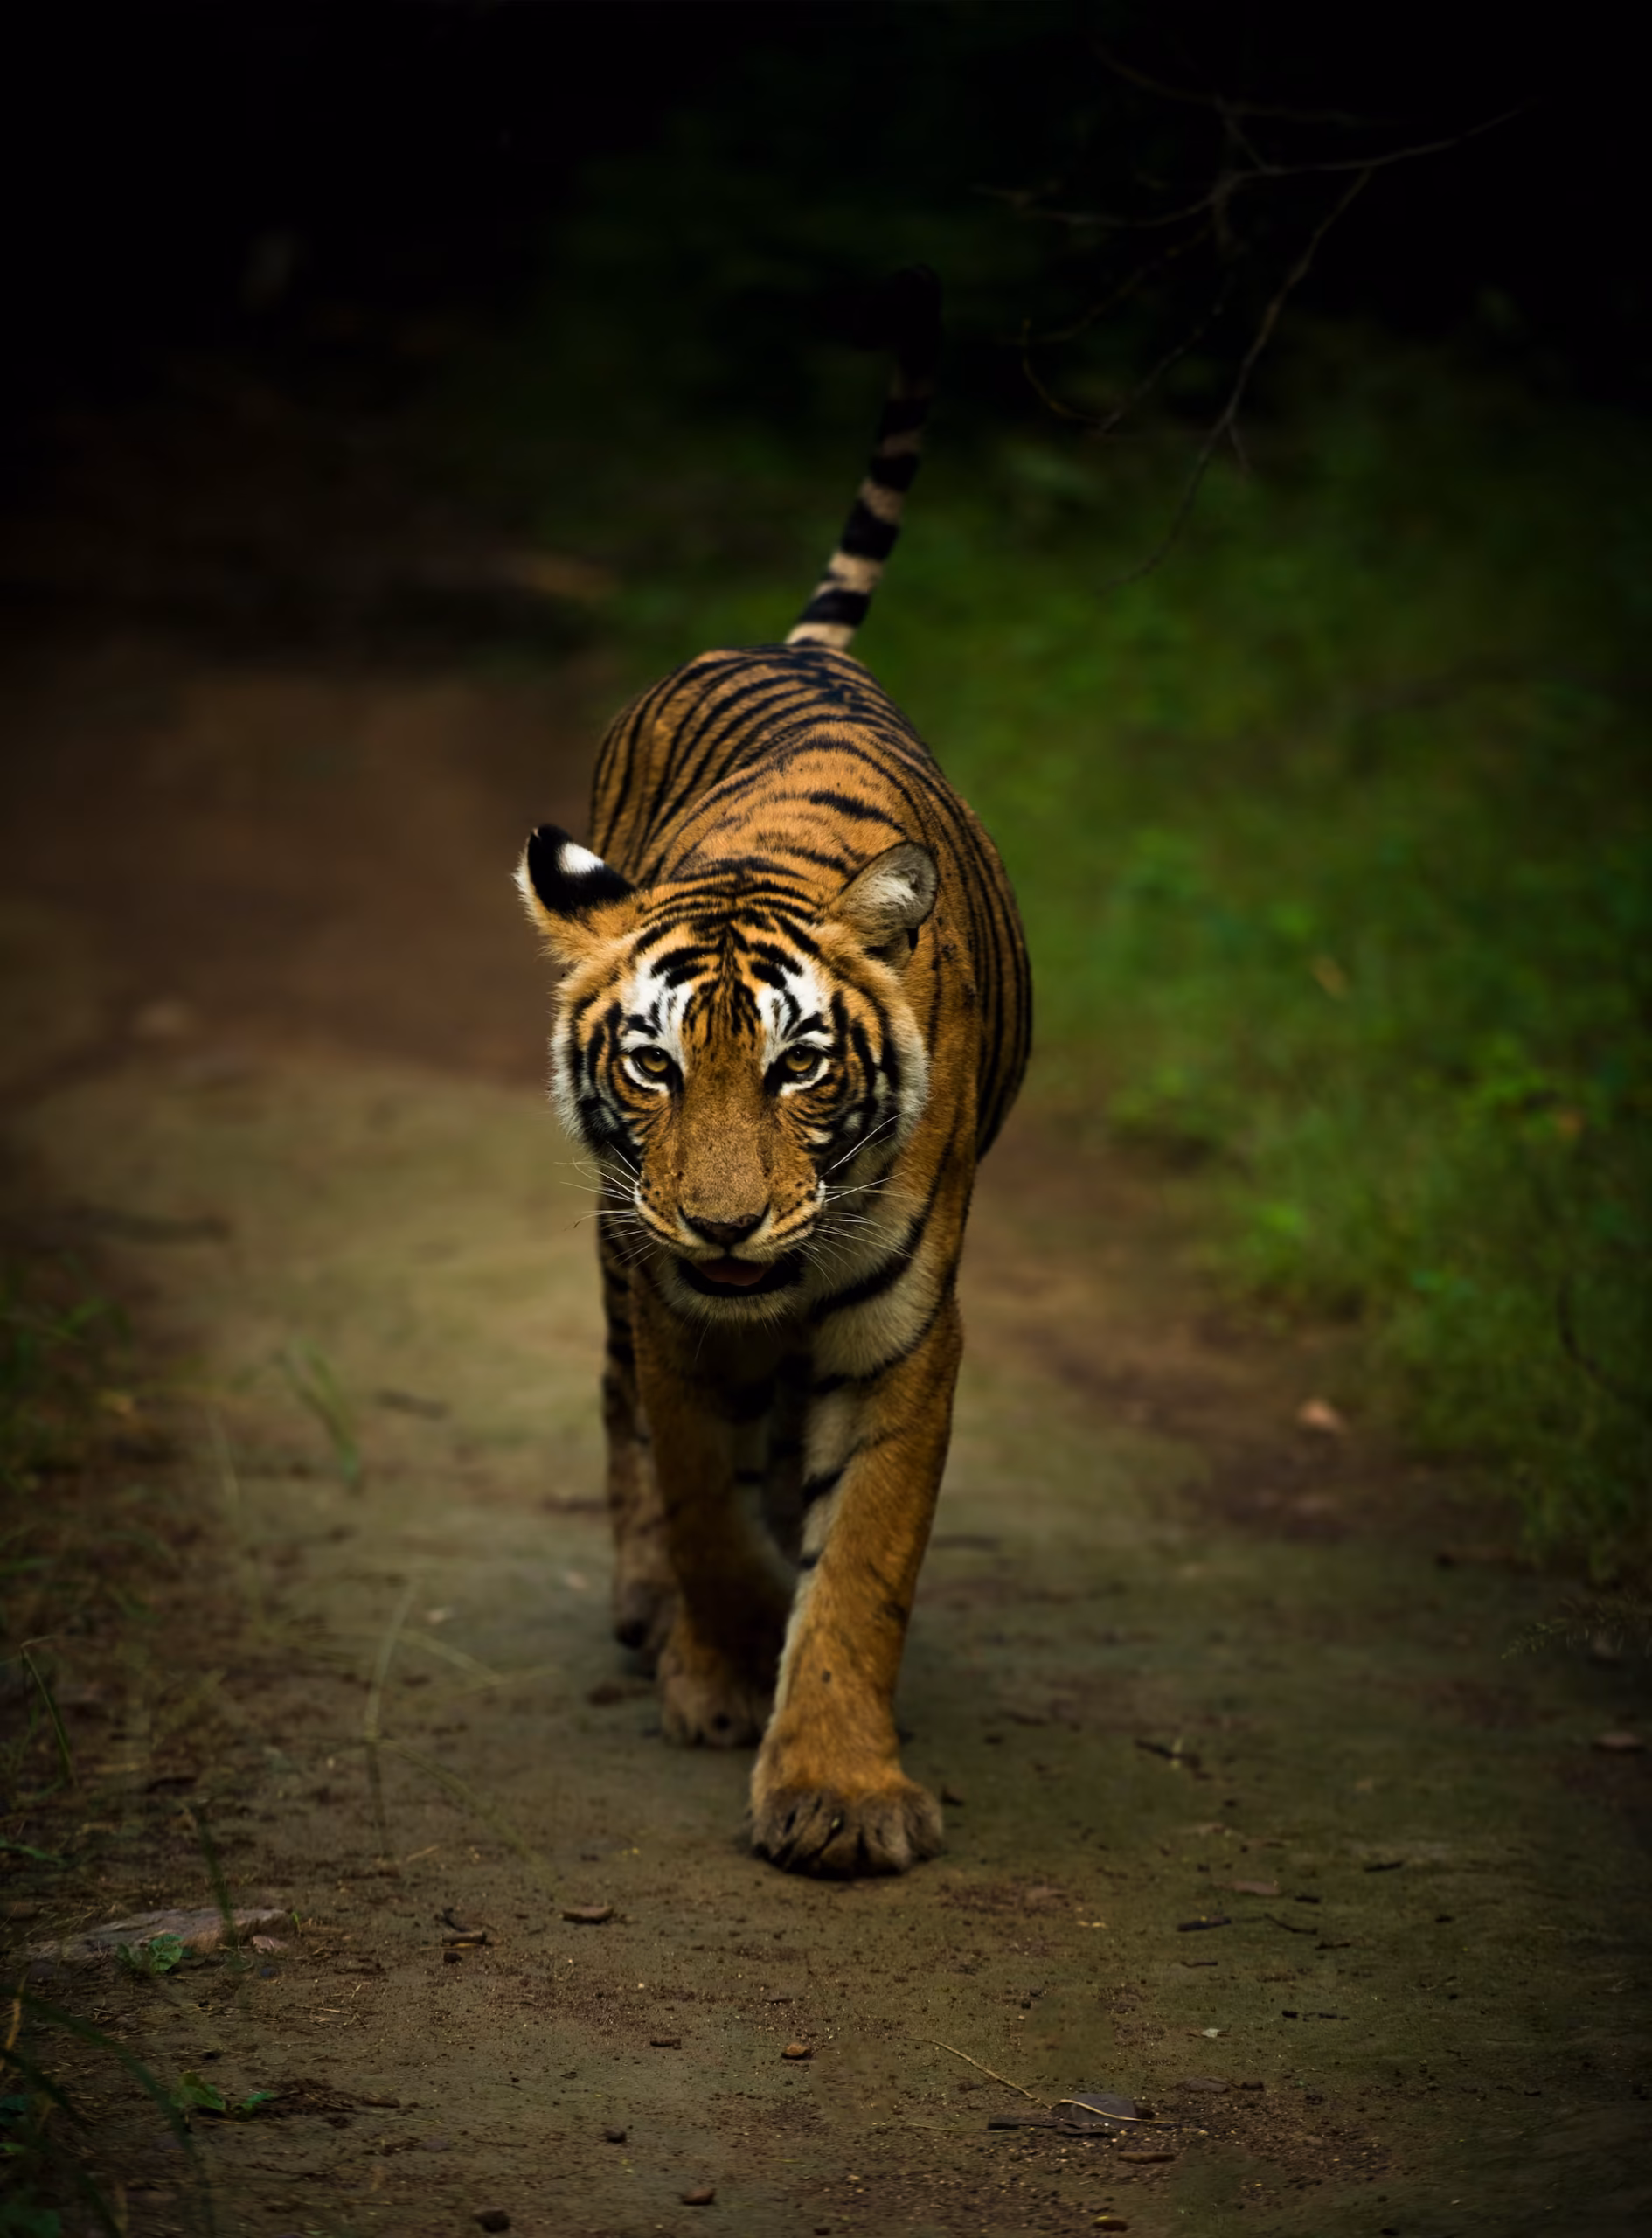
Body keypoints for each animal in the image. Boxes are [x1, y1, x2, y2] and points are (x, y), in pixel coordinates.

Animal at [517, 267, 1030, 1876]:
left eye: (804, 1066)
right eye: (653, 1068)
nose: (727, 1224)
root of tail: (797, 648)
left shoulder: (906, 1336)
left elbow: (859, 1561)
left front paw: (838, 1792)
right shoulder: (673, 1304)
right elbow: (701, 1495)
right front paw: (724, 1660)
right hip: (613, 1250)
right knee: (620, 1407)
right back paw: (649, 1613)